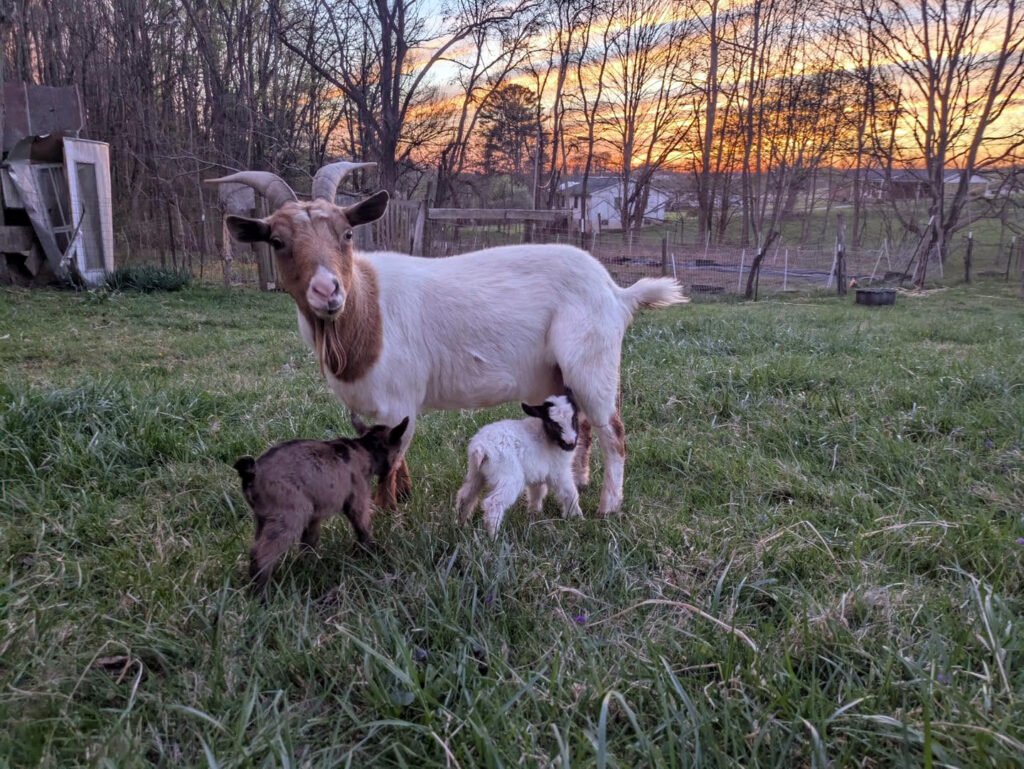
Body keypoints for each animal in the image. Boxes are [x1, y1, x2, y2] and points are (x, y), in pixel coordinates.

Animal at [209, 163, 687, 517]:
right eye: (277, 240)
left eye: (346, 234)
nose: (328, 291)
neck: (367, 312)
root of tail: (617, 291)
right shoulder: (376, 408)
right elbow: (388, 453)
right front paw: (403, 498)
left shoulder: (400, 398)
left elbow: (391, 459)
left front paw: (387, 513)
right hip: (556, 376)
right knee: (583, 422)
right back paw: (581, 480)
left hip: (593, 360)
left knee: (613, 431)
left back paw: (609, 505)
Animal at [233, 417, 409, 594]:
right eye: (399, 449)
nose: (396, 466)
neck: (364, 448)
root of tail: (253, 472)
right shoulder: (357, 499)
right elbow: (363, 527)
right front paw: (372, 552)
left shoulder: (314, 515)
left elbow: (309, 542)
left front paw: (309, 568)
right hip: (291, 515)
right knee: (262, 555)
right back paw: (261, 594)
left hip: (263, 518)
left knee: (255, 548)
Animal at [457, 391, 583, 537]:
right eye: (553, 424)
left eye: (574, 419)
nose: (570, 444)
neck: (546, 437)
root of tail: (481, 448)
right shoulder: (559, 471)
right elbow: (570, 492)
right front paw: (576, 517)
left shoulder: (538, 473)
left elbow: (537, 493)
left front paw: (534, 515)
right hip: (509, 476)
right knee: (493, 503)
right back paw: (493, 537)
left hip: (476, 472)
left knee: (466, 496)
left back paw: (461, 525)